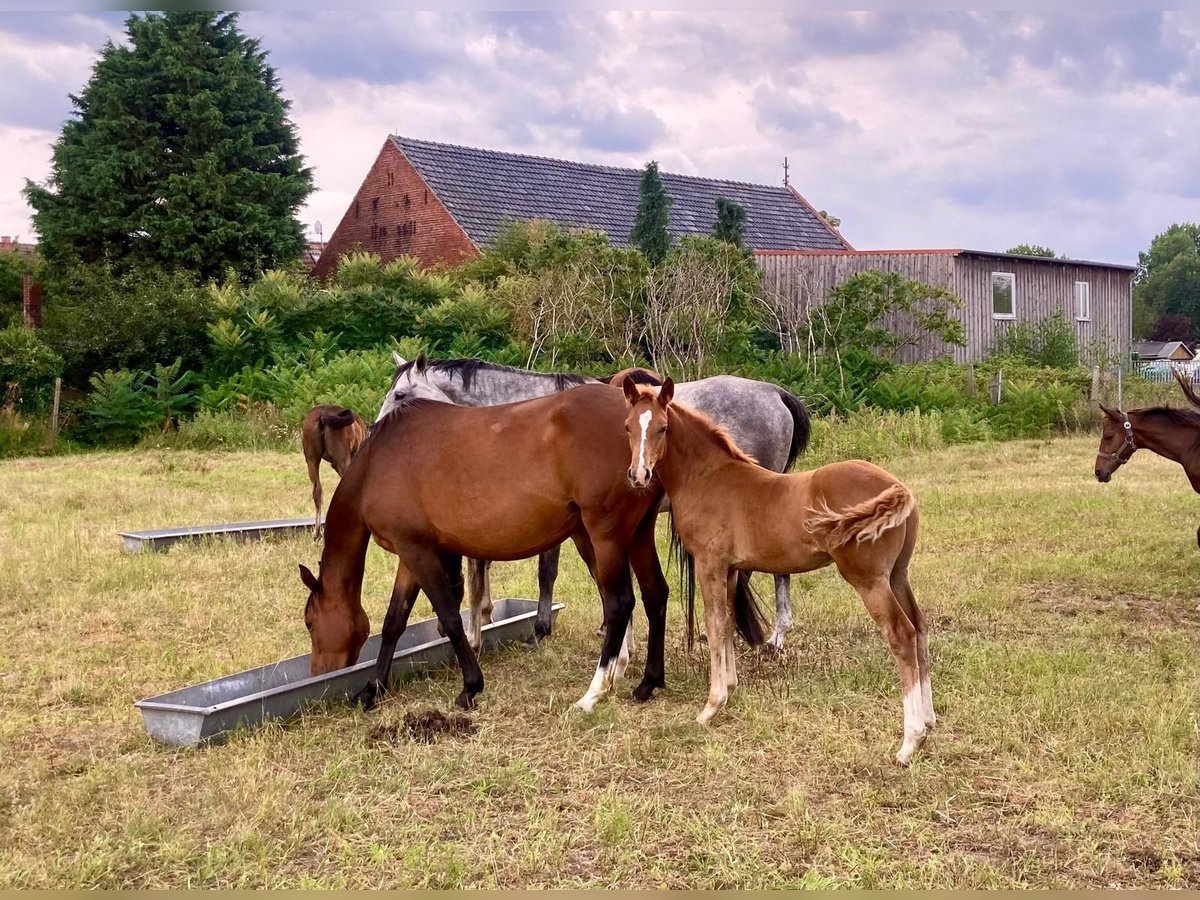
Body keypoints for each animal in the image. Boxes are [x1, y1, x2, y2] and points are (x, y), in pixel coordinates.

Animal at [300, 384, 672, 715]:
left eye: (309, 622)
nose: (319, 674)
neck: (377, 464)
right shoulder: (410, 554)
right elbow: (394, 622)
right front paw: (372, 690)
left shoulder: (418, 552)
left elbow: (450, 617)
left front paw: (470, 687)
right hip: (633, 535)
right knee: (654, 593)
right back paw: (647, 682)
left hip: (605, 535)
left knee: (619, 603)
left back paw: (593, 693)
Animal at [624, 379, 931, 768]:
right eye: (628, 427)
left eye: (663, 428)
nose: (639, 476)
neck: (709, 478)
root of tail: (898, 488)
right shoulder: (730, 569)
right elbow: (727, 624)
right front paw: (729, 691)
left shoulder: (710, 564)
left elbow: (715, 624)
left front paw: (710, 708)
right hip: (897, 575)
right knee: (919, 627)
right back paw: (930, 723)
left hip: (869, 580)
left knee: (901, 634)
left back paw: (909, 742)